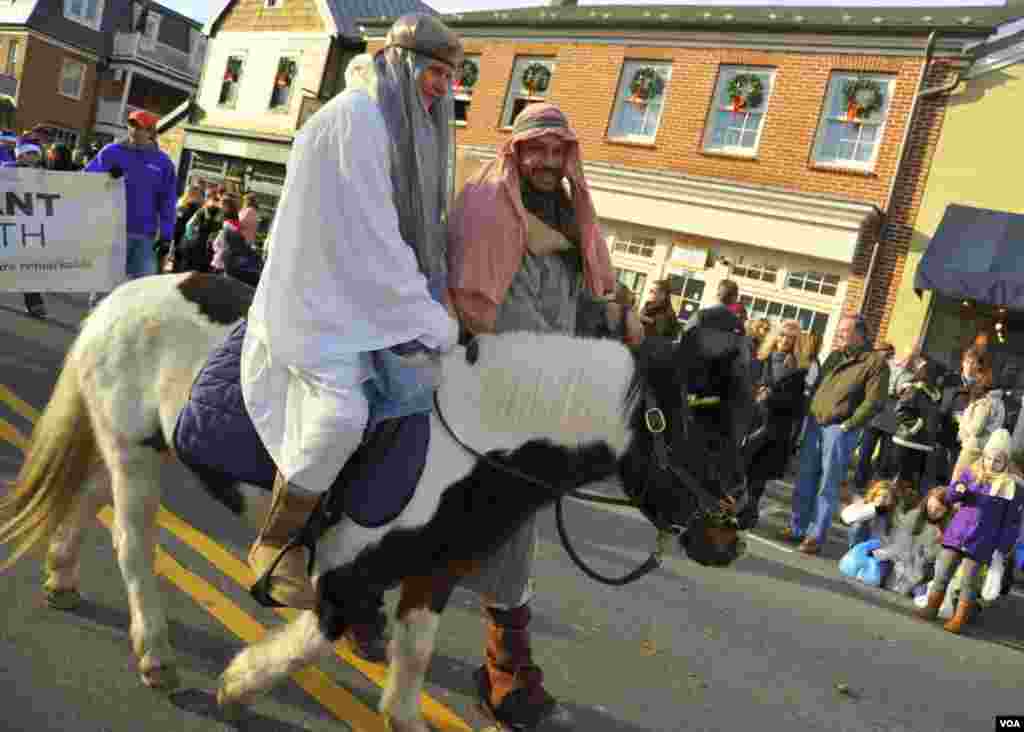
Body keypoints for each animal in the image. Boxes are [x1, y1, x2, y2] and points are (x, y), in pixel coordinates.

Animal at [0, 274, 753, 732]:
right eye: (700, 427)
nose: (729, 539)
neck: (475, 442)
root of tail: (121, 298)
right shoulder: (348, 570)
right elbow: (318, 636)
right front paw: (239, 684)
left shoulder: (434, 569)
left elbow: (414, 651)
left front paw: (401, 715)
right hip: (132, 453)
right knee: (132, 542)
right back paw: (155, 655)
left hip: (131, 445)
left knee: (85, 501)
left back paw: (62, 578)